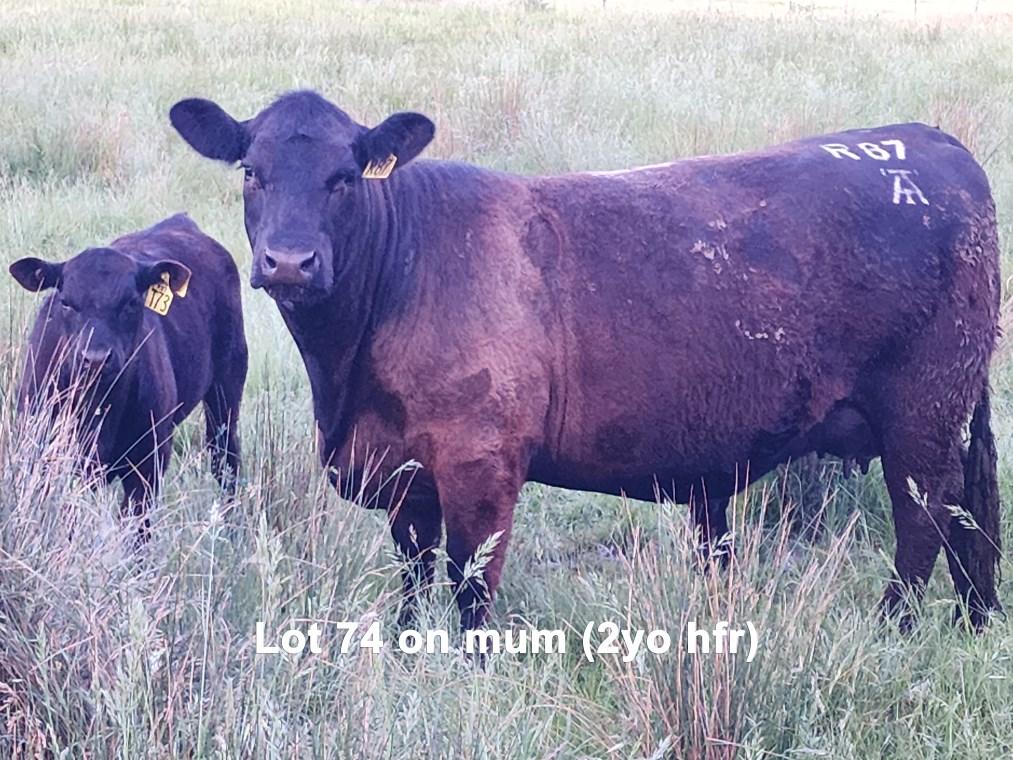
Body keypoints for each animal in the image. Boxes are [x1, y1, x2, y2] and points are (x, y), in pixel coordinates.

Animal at [9, 213, 248, 540]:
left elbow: (136, 531)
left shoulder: (148, 462)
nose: (96, 358)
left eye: (132, 302)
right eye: (66, 302)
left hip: (227, 386)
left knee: (224, 457)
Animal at [170, 90, 1001, 632]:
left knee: (923, 519)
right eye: (250, 172)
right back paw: (970, 619)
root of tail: (930, 143)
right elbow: (412, 578)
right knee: (966, 513)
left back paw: (893, 629)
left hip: (922, 413)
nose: (288, 262)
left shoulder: (480, 465)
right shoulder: (404, 472)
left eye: (344, 178)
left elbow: (470, 588)